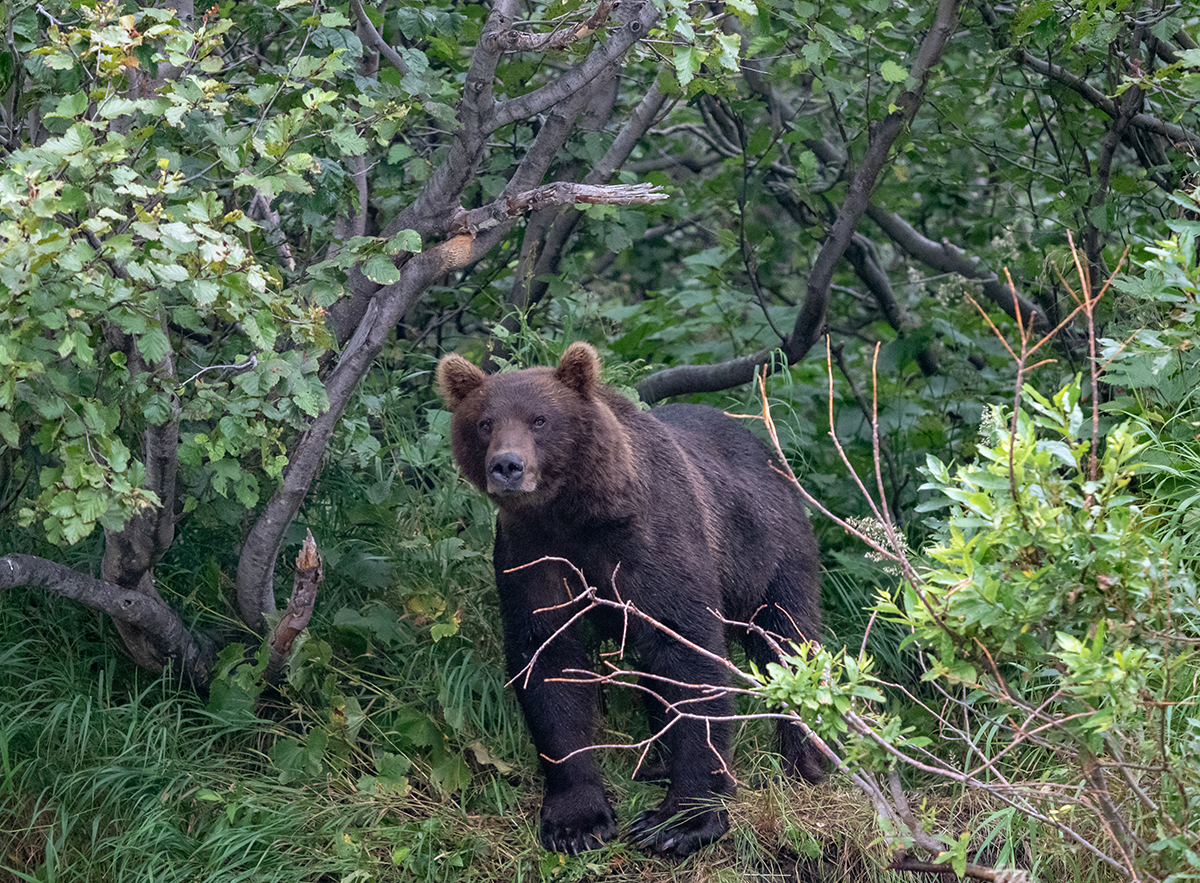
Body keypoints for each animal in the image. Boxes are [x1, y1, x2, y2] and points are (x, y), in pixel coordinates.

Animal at [439, 343, 825, 854]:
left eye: (540, 419)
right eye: (484, 422)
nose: (507, 465)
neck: (575, 514)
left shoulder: (650, 540)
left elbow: (688, 652)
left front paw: (679, 822)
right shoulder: (531, 552)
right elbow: (548, 658)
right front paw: (577, 822)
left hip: (771, 553)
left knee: (788, 639)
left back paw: (804, 762)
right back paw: (657, 762)